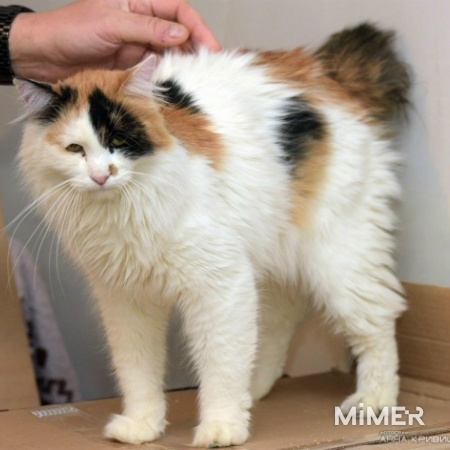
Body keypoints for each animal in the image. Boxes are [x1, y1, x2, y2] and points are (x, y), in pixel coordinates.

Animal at [15, 23, 409, 447]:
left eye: (118, 141)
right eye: (75, 149)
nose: (101, 175)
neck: (120, 213)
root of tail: (324, 69)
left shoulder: (220, 285)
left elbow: (220, 362)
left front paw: (222, 427)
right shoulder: (127, 301)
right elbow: (137, 370)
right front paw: (142, 425)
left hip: (340, 255)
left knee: (377, 323)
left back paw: (373, 399)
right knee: (279, 319)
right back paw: (253, 390)